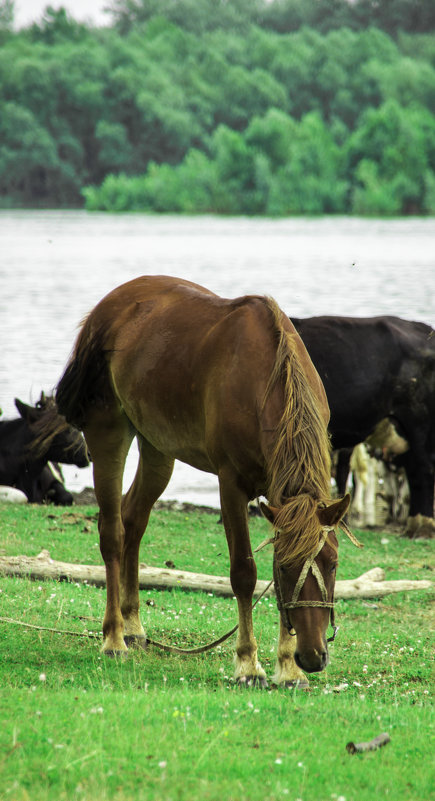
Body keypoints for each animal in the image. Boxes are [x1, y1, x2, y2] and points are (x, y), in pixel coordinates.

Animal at [57, 276, 350, 688]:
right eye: (285, 567)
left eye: (334, 564)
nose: (312, 656)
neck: (265, 380)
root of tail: (110, 305)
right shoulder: (231, 485)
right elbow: (243, 574)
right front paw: (249, 664)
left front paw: (288, 669)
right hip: (108, 432)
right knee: (112, 531)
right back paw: (114, 637)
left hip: (158, 446)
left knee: (134, 520)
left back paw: (133, 625)